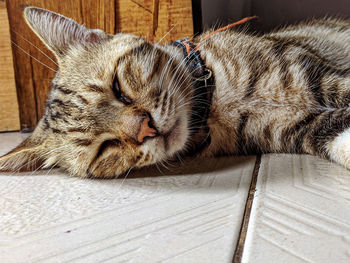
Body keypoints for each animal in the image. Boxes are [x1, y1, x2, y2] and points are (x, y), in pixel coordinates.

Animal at [0, 6, 350, 179]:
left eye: (118, 87)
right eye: (104, 148)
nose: (146, 129)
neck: (218, 105)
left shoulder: (313, 73)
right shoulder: (297, 129)